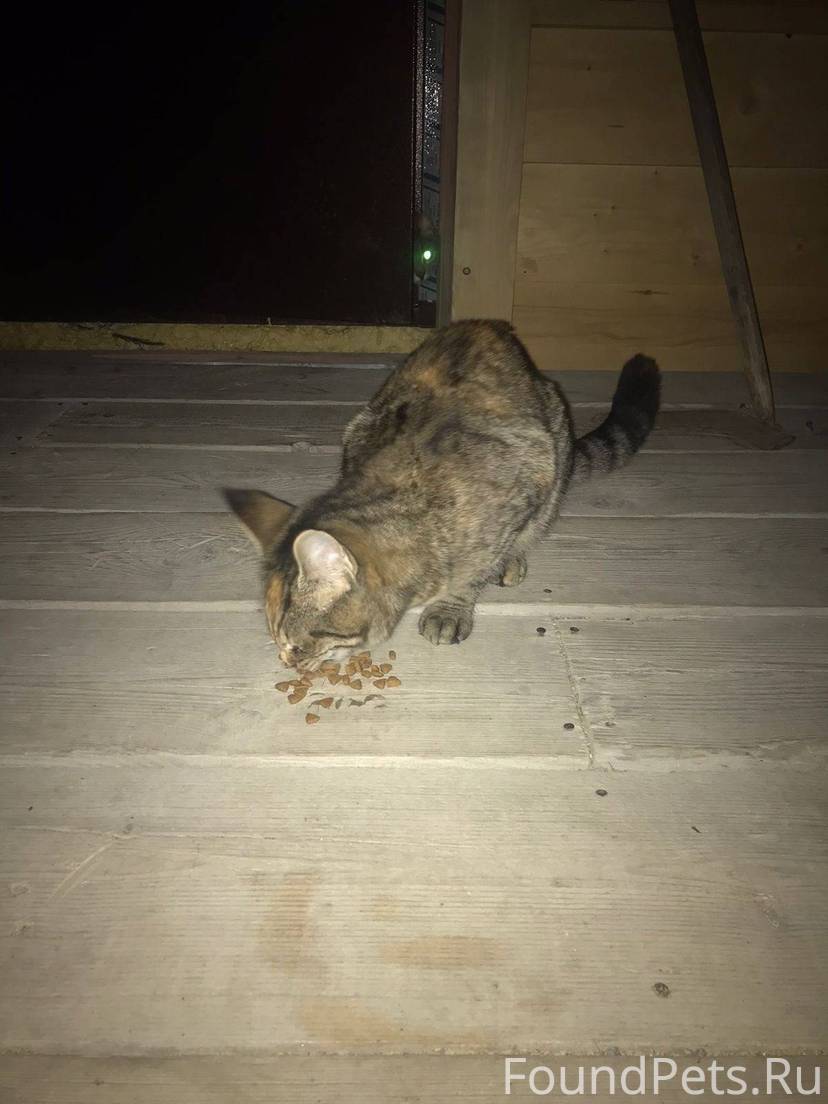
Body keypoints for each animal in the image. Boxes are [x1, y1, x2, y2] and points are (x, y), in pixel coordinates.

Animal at [226, 319, 660, 672]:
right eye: (279, 642)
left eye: (297, 646)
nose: (287, 663)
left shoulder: (527, 477)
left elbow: (476, 568)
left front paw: (453, 604)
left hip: (555, 443)